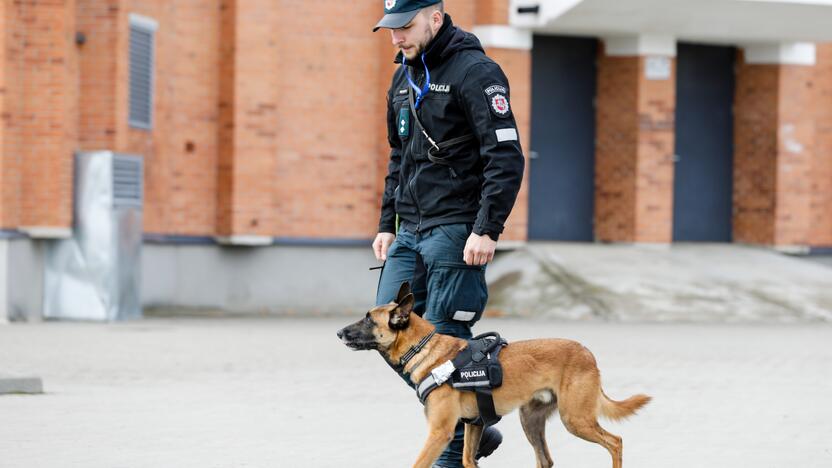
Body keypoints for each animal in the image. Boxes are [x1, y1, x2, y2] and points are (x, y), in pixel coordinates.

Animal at [338, 282, 648, 468]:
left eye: (368, 319)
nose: (339, 332)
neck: (425, 348)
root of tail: (587, 353)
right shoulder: (474, 425)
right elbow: (468, 461)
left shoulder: (440, 432)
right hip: (531, 421)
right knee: (546, 459)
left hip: (575, 419)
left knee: (615, 442)